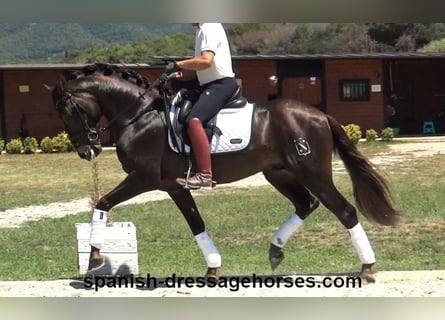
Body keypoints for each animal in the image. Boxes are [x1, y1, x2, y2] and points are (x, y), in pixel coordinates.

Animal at [49, 64, 402, 282]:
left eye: (68, 111)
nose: (87, 151)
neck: (138, 114)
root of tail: (318, 114)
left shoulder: (142, 178)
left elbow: (103, 204)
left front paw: (94, 257)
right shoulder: (174, 187)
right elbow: (197, 225)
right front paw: (213, 269)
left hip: (312, 172)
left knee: (344, 210)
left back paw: (367, 267)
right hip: (279, 173)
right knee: (306, 204)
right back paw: (275, 250)